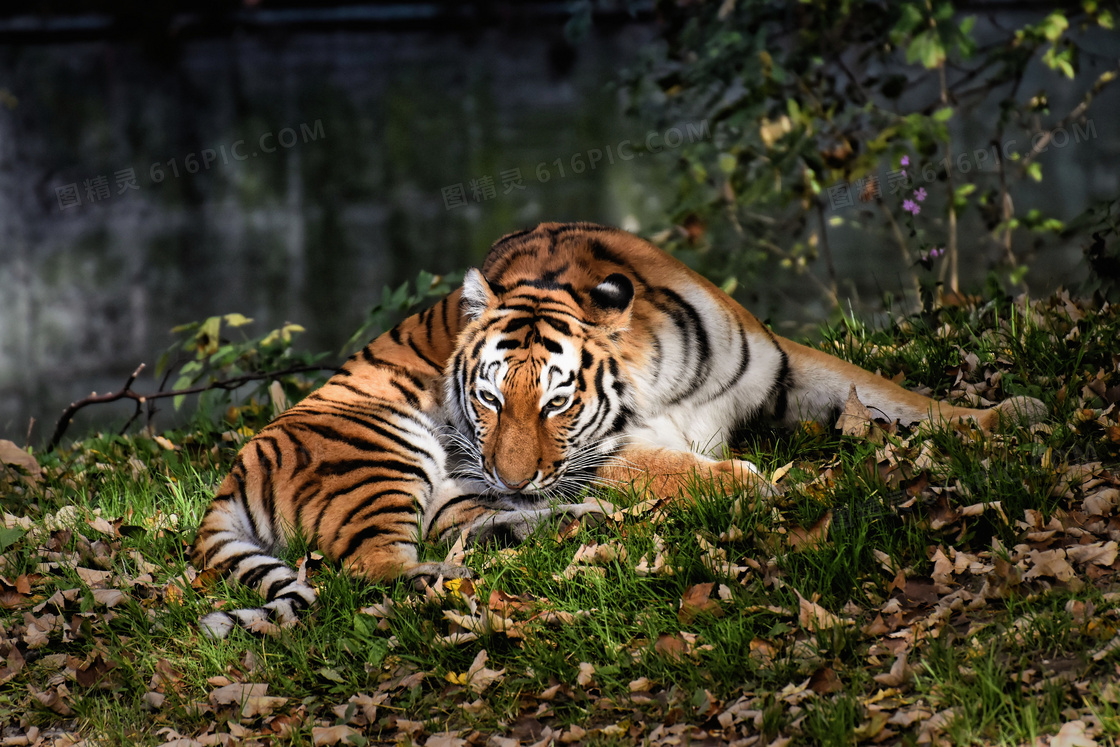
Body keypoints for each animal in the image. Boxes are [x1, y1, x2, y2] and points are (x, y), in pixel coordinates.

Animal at [190, 221, 1039, 636]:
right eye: (489, 400)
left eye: (555, 402)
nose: (509, 474)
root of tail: (231, 472)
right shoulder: (606, 451)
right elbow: (673, 465)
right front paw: (747, 485)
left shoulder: (784, 370)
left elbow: (891, 391)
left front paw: (1004, 415)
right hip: (383, 445)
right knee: (370, 568)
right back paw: (450, 579)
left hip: (453, 494)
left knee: (468, 530)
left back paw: (570, 527)